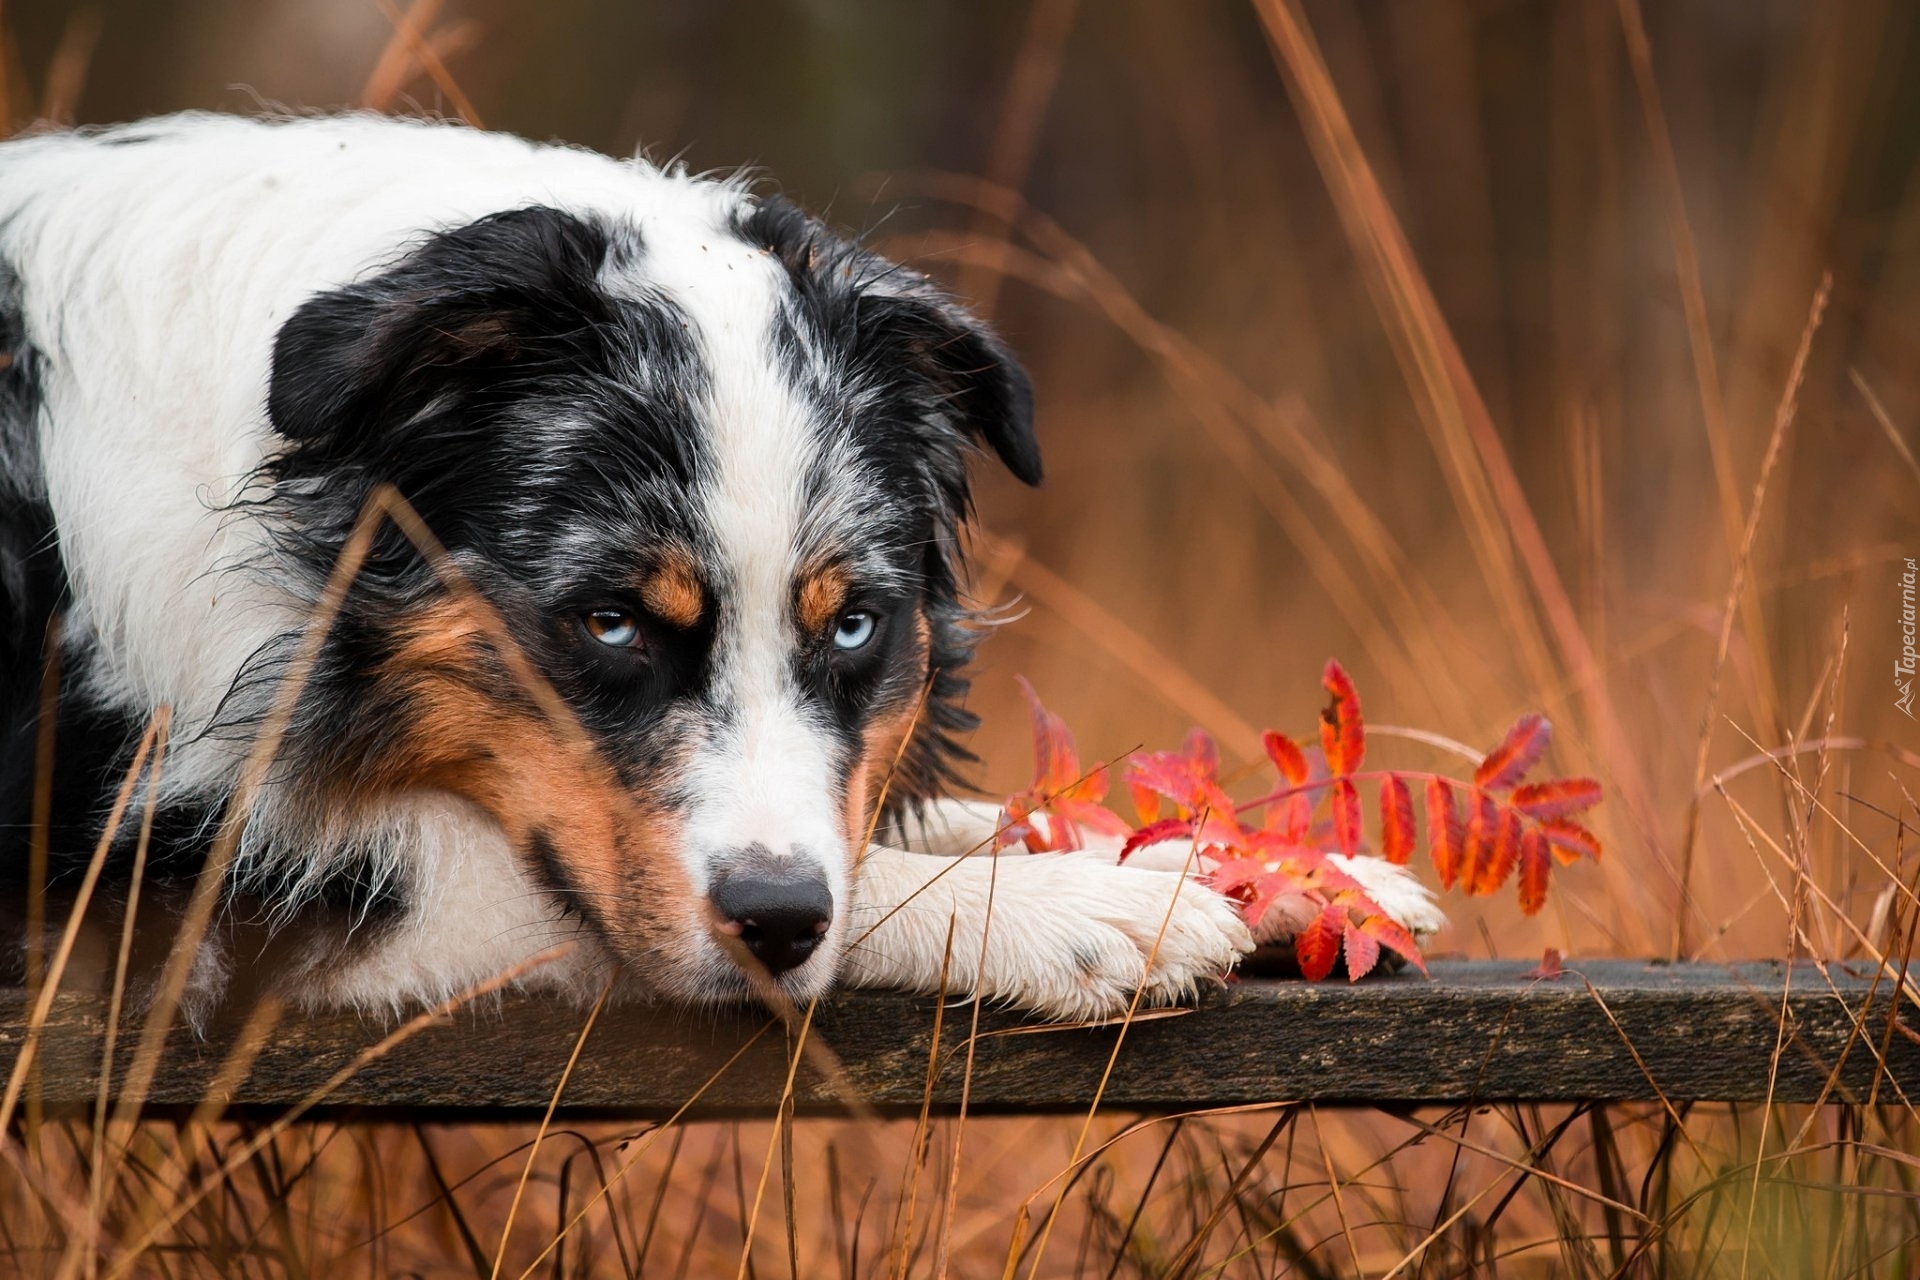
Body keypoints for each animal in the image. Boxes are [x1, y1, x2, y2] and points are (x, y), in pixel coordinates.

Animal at [0, 115, 1443, 1028]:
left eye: (854, 627)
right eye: (609, 622)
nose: (777, 923)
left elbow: (926, 814)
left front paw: (1282, 869)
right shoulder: (164, 897)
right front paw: (1100, 909)